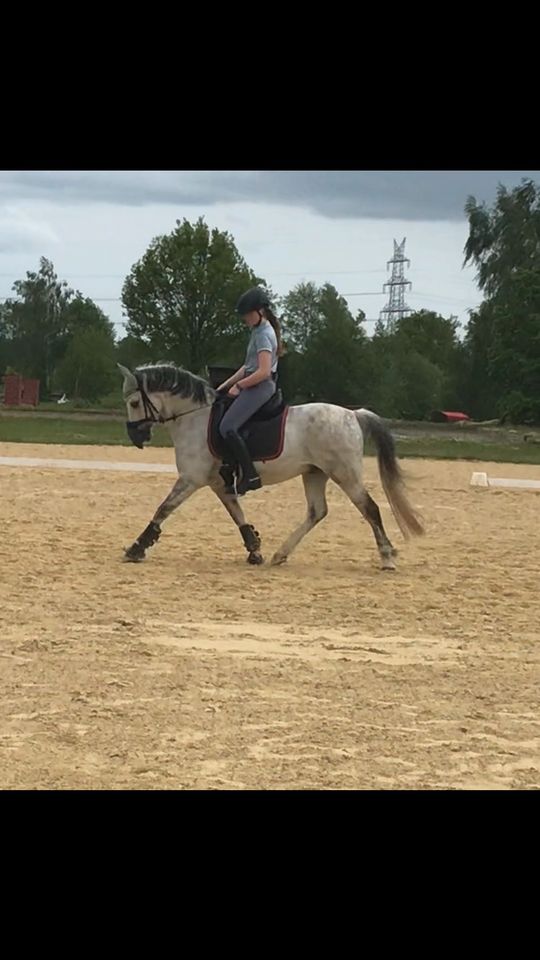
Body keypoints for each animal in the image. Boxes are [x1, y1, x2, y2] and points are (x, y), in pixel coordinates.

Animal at [117, 364, 422, 568]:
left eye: (134, 402)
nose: (136, 437)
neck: (195, 418)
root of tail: (353, 415)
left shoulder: (191, 479)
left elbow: (163, 509)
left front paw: (136, 548)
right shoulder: (218, 483)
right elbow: (237, 514)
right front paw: (255, 551)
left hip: (344, 474)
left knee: (369, 508)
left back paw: (386, 557)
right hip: (315, 474)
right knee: (317, 512)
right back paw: (280, 554)